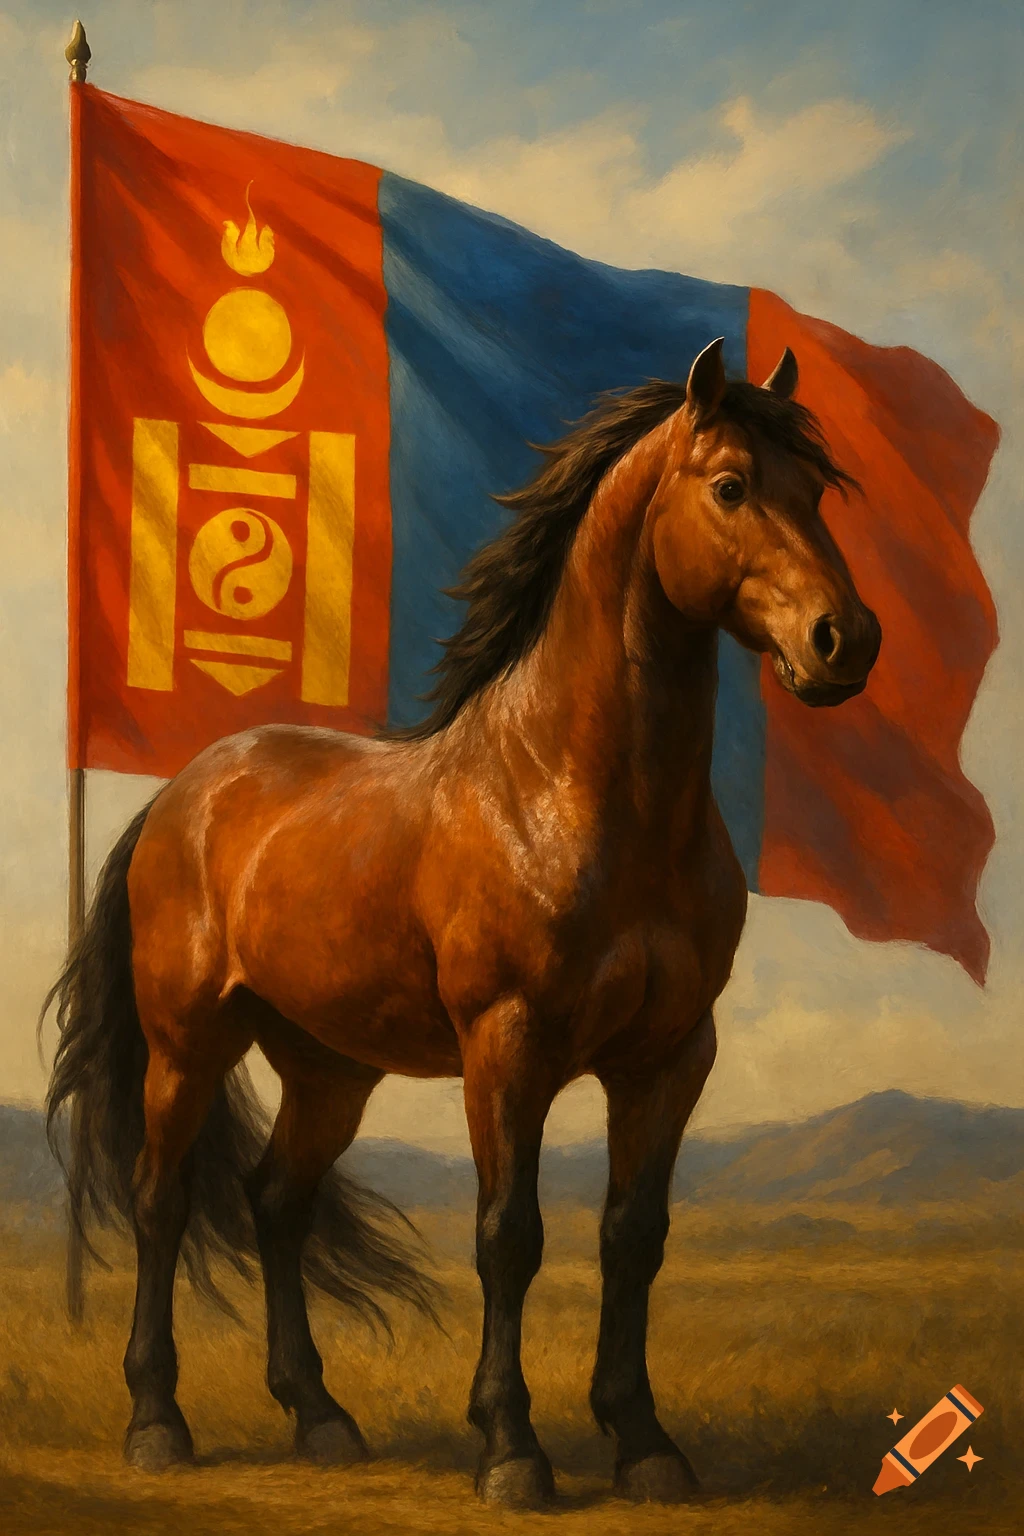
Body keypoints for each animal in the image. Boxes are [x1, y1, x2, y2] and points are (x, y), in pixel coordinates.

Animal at [45, 336, 880, 1510]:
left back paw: (321, 1418)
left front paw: (644, 1442)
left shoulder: (671, 1057)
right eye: (730, 486)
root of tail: (181, 796)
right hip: (188, 1044)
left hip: (329, 1071)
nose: (844, 639)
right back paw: (157, 1423)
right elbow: (507, 1236)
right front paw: (512, 1449)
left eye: (816, 489)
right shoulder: (508, 1043)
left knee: (276, 1203)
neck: (572, 792)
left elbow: (633, 1238)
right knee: (160, 1202)